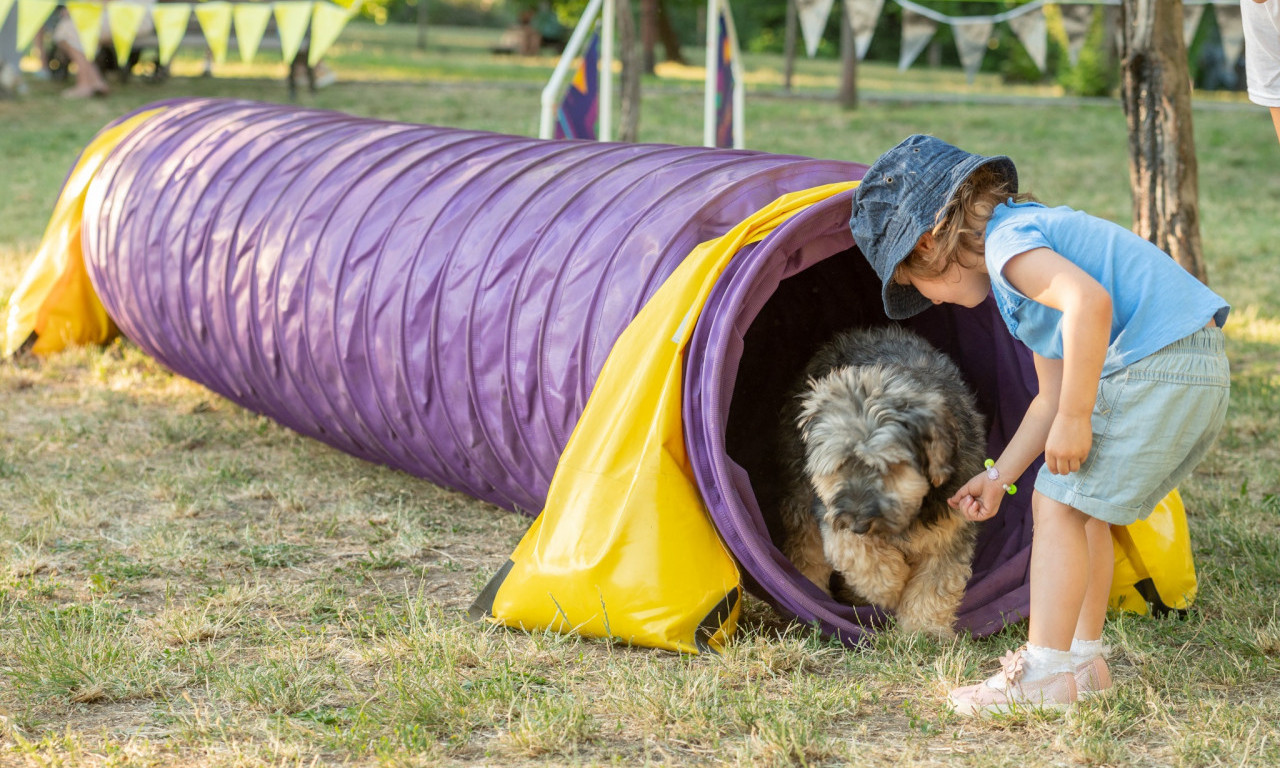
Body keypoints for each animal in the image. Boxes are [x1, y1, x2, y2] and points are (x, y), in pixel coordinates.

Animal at [773, 323, 983, 634]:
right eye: (839, 465)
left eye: (889, 468)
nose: (859, 524)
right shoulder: (832, 512)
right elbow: (856, 552)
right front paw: (891, 584)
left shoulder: (951, 526)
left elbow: (936, 582)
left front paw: (925, 629)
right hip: (799, 489)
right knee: (806, 547)